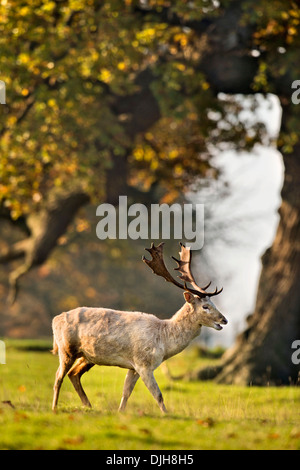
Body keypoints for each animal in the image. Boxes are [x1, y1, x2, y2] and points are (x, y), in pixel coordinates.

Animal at [51, 244, 226, 414]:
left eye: (213, 303)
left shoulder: (133, 366)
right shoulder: (143, 363)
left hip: (87, 356)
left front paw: (120, 412)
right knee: (58, 376)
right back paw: (54, 407)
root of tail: (55, 319)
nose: (224, 320)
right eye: (205, 306)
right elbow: (158, 395)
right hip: (66, 349)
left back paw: (88, 406)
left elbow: (126, 392)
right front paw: (166, 415)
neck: (163, 341)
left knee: (73, 374)